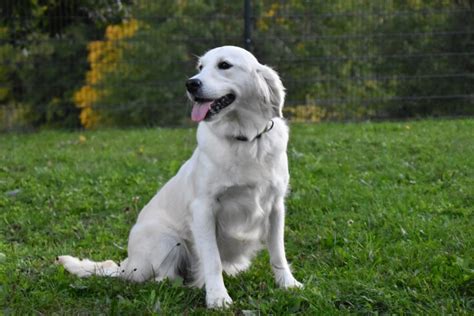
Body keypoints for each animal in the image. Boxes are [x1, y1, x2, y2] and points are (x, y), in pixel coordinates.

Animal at [55, 45, 300, 308]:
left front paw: (288, 284)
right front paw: (217, 297)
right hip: (167, 239)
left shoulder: (275, 206)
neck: (245, 139)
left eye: (224, 65)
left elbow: (278, 253)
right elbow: (212, 259)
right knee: (161, 277)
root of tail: (127, 264)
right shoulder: (204, 208)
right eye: (200, 67)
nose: (191, 84)